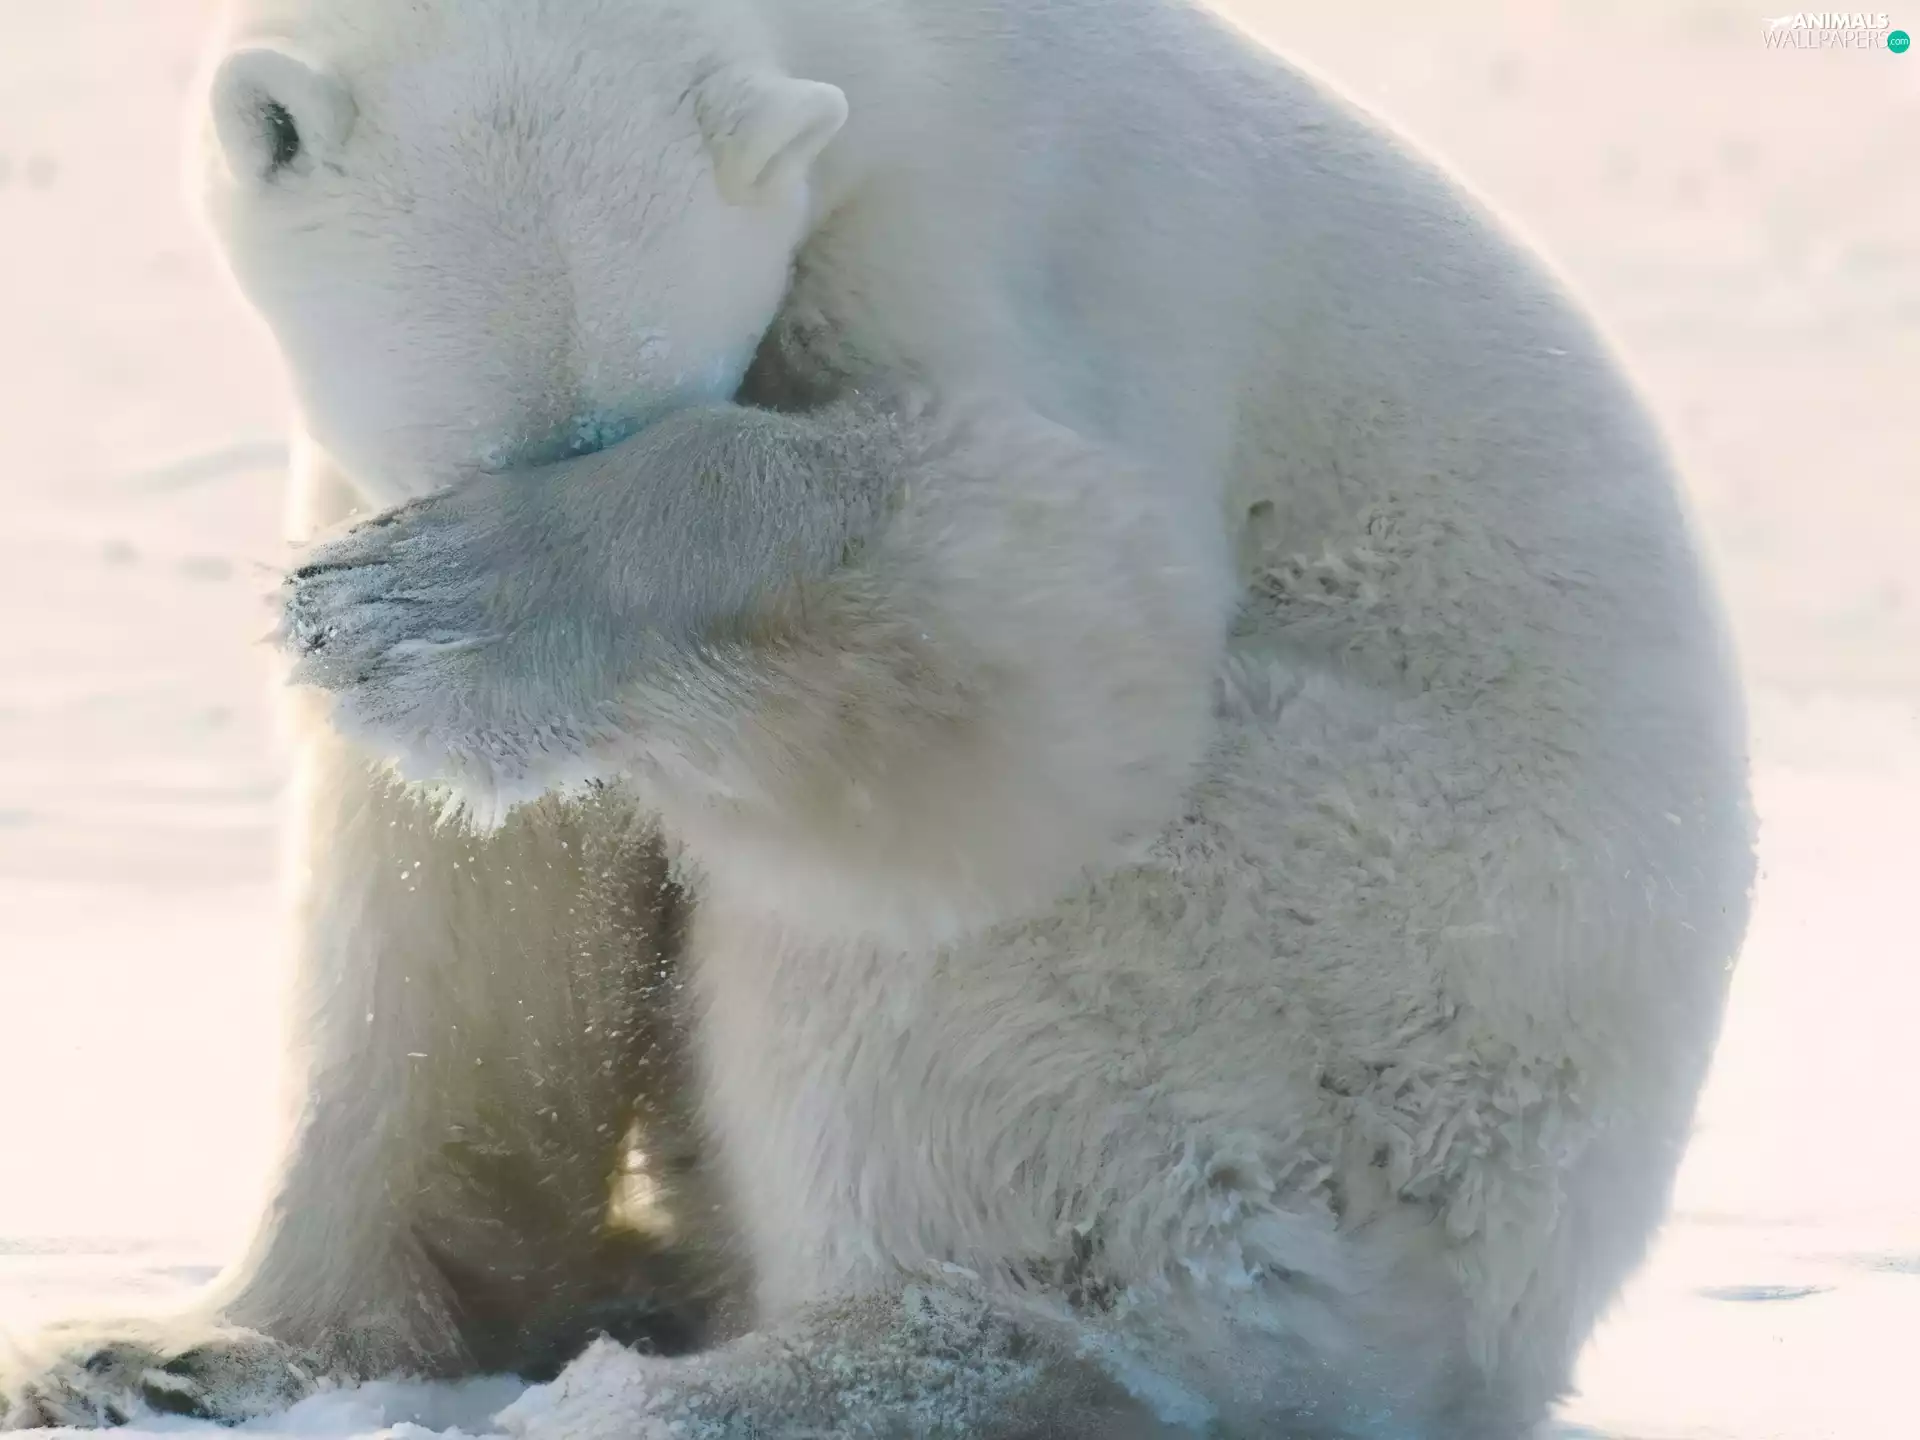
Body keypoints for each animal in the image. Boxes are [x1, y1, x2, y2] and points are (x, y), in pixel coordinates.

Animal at [2, 0, 1755, 1434]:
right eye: (472, 445)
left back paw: (763, 1377)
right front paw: (176, 1350)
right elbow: (454, 927)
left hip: (1374, 976)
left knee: (986, 989)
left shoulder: (976, 250)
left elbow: (1059, 626)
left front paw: (457, 606)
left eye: (632, 425)